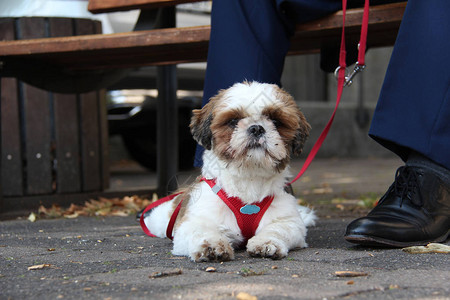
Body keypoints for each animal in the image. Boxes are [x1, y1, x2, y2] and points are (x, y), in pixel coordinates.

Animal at [142, 81, 314, 262]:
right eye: (233, 121)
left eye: (275, 120)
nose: (256, 128)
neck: (249, 178)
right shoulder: (194, 222)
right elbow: (201, 231)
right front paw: (211, 245)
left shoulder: (288, 221)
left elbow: (278, 229)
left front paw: (267, 242)